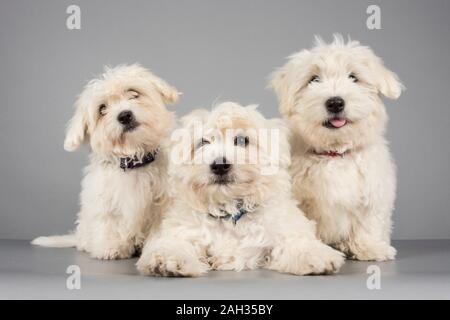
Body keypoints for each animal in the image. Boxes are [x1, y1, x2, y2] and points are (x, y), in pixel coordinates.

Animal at [32, 63, 179, 258]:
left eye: (133, 94)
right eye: (102, 109)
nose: (124, 115)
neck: (134, 161)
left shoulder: (163, 203)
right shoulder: (103, 199)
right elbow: (108, 221)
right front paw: (110, 247)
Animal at [135, 101, 342, 276]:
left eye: (242, 140)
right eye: (203, 142)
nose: (220, 165)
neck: (229, 213)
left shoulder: (281, 227)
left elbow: (293, 241)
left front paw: (315, 254)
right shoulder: (183, 230)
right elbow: (174, 243)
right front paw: (168, 259)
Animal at [270, 35, 404, 262]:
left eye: (353, 77)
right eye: (314, 79)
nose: (335, 102)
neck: (334, 153)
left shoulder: (374, 191)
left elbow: (369, 222)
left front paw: (370, 248)